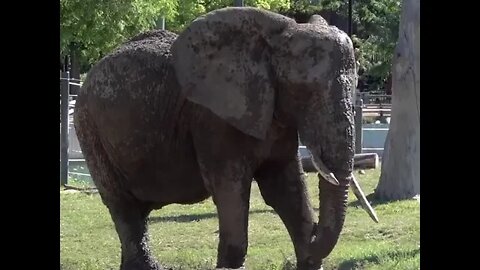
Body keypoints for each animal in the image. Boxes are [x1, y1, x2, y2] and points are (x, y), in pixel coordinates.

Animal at [73, 6, 376, 270]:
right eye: (303, 91)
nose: (315, 233)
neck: (275, 37)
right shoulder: (213, 121)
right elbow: (230, 188)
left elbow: (285, 187)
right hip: (89, 128)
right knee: (121, 204)